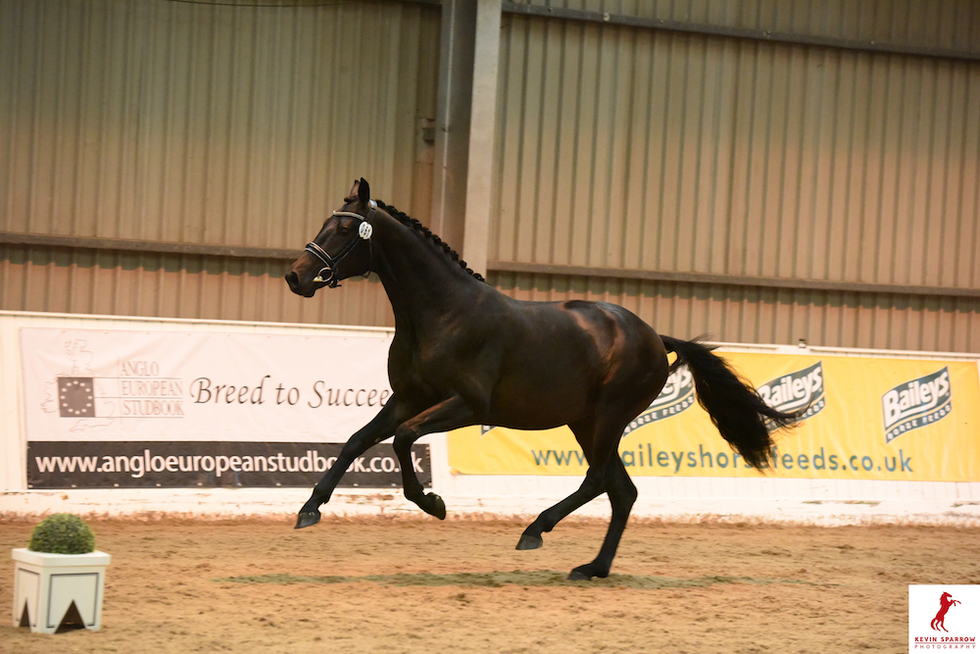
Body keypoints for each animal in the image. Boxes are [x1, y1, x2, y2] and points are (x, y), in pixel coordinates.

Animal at [285, 178, 802, 580]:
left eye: (345, 228)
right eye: (326, 223)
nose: (295, 277)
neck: (442, 313)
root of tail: (656, 337)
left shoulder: (466, 405)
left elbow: (404, 439)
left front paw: (433, 503)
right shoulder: (407, 398)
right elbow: (357, 440)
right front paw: (310, 509)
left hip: (608, 417)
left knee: (599, 480)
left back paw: (535, 530)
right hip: (585, 422)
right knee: (622, 490)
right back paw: (593, 568)